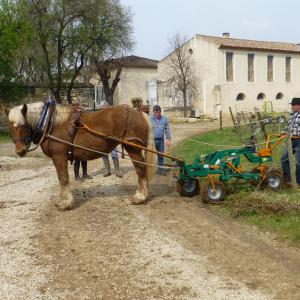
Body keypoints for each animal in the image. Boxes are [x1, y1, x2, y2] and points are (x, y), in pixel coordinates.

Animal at [5, 102, 157, 210]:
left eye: (23, 125)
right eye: (10, 127)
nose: (20, 150)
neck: (50, 123)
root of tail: (138, 112)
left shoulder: (59, 157)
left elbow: (63, 179)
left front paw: (65, 203)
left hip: (133, 148)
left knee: (140, 168)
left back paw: (140, 197)